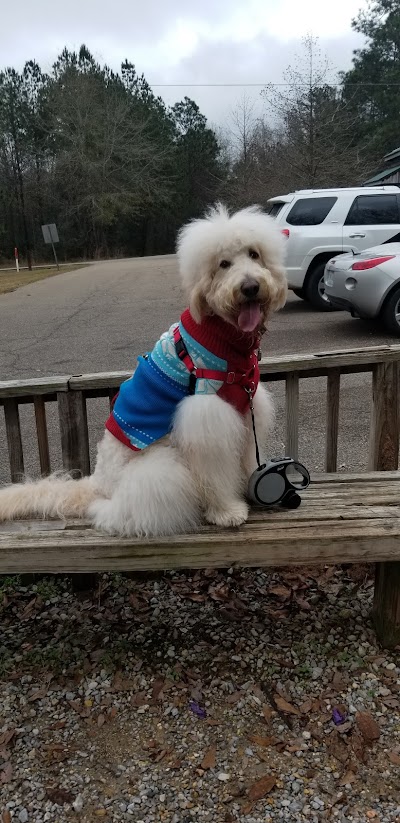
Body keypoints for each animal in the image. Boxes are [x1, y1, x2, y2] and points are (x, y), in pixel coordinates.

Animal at [0, 206, 288, 536]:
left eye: (254, 254)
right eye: (223, 264)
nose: (250, 287)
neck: (225, 337)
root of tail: (97, 484)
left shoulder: (246, 405)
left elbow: (248, 455)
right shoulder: (207, 417)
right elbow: (215, 473)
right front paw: (227, 511)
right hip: (161, 471)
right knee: (114, 513)